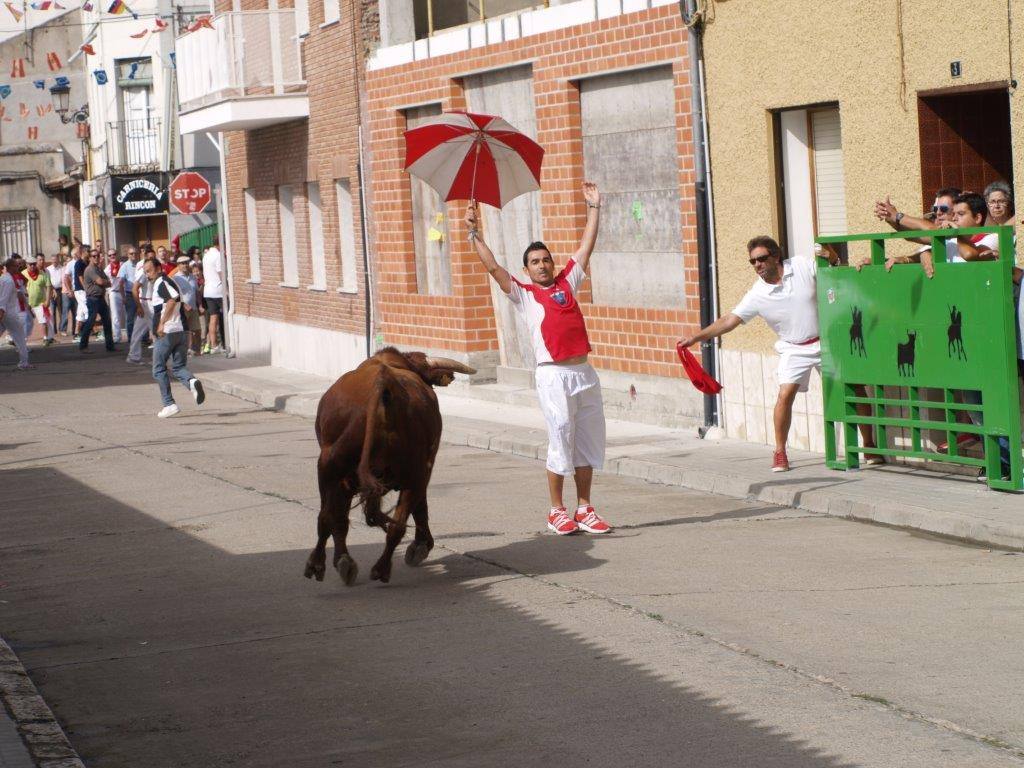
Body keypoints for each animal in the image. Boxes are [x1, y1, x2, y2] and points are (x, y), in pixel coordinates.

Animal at [303, 350, 475, 589]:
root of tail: (383, 384)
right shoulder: (423, 468)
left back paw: (324, 564)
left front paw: (342, 560)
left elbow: (337, 518)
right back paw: (381, 568)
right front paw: (422, 545)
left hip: (330, 466)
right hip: (414, 472)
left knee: (327, 517)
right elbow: (419, 507)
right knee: (397, 524)